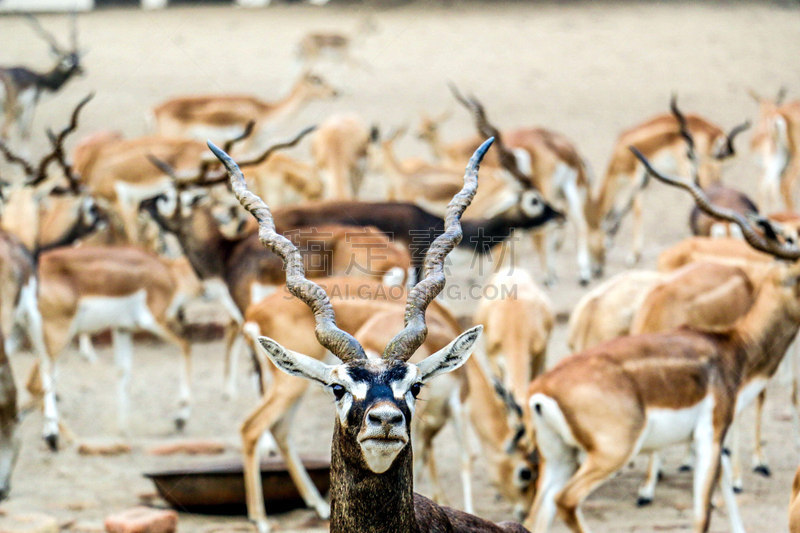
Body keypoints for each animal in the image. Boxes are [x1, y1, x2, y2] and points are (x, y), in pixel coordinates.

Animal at [0, 15, 83, 152]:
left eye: (78, 58)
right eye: (66, 61)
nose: (82, 71)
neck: (39, 79)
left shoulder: (17, 111)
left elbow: (20, 135)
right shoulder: (28, 106)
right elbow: (25, 135)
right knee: (5, 133)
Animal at [152, 70, 338, 148]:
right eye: (316, 80)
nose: (335, 92)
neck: (264, 111)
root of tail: (156, 109)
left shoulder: (258, 145)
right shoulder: (247, 142)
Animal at [520, 141, 800, 532]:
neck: (734, 347)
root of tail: (541, 390)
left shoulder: (717, 439)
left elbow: (728, 495)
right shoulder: (711, 433)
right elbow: (702, 512)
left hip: (559, 458)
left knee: (538, 514)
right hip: (611, 453)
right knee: (567, 500)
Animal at [592, 94, 752, 266]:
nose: (605, 249)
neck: (620, 151)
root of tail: (715, 131)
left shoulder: (637, 175)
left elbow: (636, 210)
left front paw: (633, 256)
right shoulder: (645, 180)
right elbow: (625, 208)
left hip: (689, 168)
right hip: (711, 166)